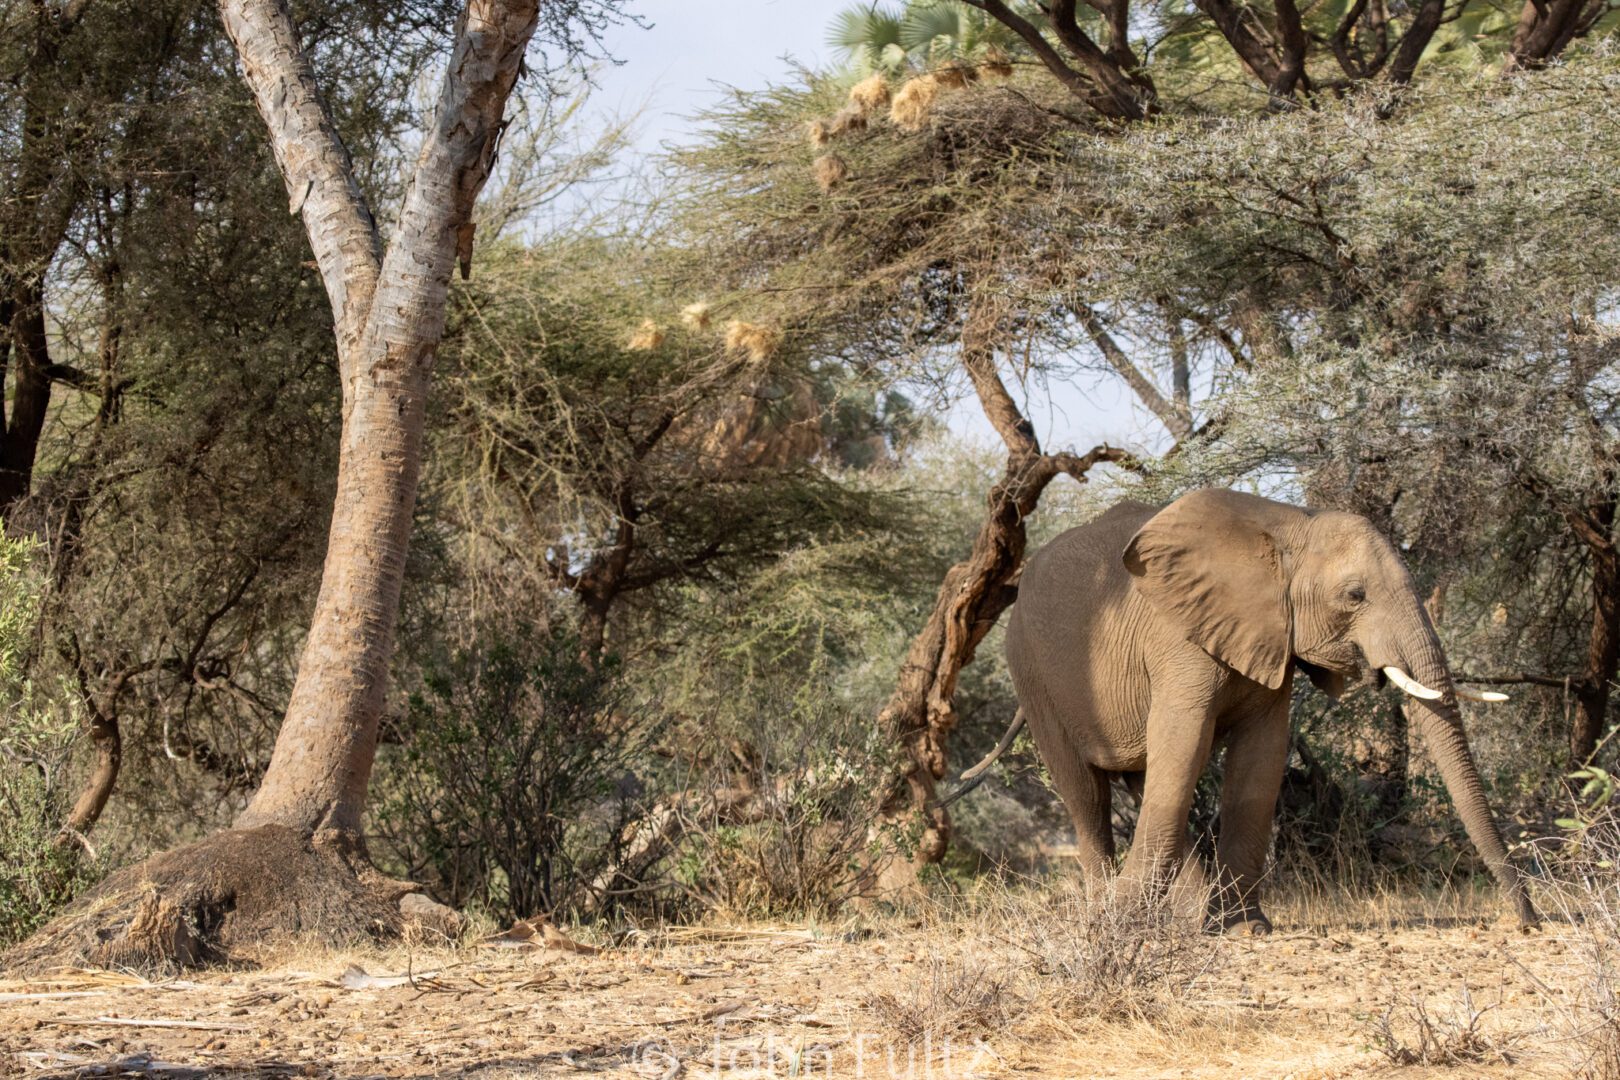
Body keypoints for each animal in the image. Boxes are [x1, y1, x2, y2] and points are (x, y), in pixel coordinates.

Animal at [984, 488, 1529, 932]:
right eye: (1355, 596)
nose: (1527, 920)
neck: (1288, 526)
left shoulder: (1271, 638)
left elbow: (1260, 762)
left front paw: (1244, 929)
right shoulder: (1179, 640)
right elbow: (1185, 747)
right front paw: (1129, 923)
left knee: (1145, 781)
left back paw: (1184, 918)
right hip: (1031, 671)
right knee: (1087, 794)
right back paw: (1108, 916)